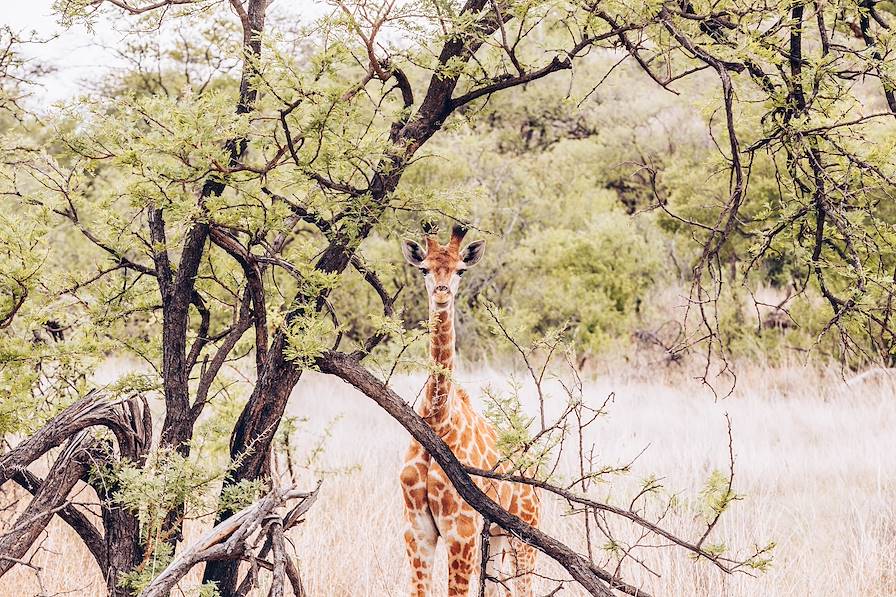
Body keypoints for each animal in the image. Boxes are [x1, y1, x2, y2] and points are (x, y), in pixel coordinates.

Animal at [400, 225, 540, 596]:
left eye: (460, 270)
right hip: (497, 538)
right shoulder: (417, 531)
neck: (438, 419)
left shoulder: (460, 531)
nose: (442, 292)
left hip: (525, 534)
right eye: (424, 269)